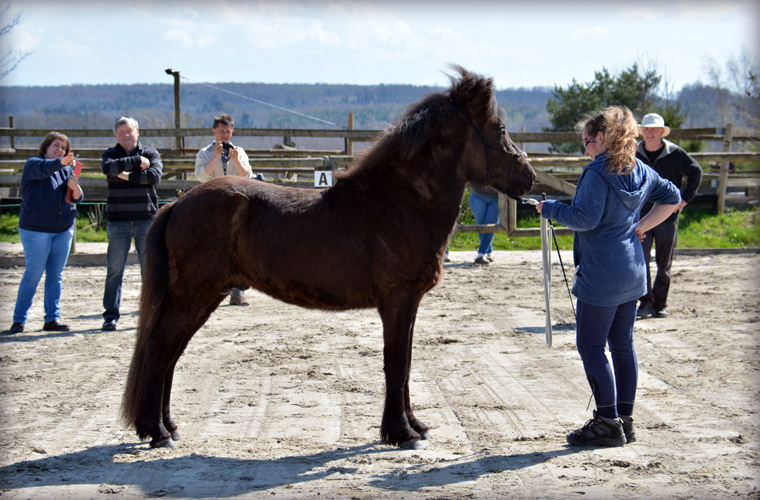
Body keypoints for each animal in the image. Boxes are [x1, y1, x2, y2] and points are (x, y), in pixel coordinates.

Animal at [123, 66, 536, 450]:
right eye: (499, 128)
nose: (529, 176)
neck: (400, 202)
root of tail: (176, 205)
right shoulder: (398, 299)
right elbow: (396, 363)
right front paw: (401, 434)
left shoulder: (409, 302)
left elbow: (405, 364)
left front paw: (415, 427)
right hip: (193, 296)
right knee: (160, 351)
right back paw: (157, 432)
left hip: (203, 297)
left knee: (171, 354)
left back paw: (168, 426)